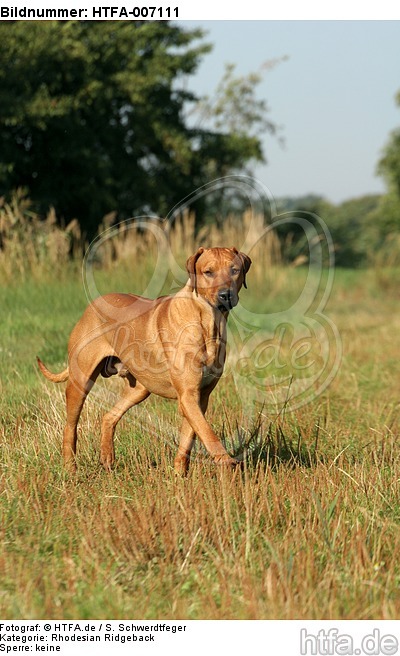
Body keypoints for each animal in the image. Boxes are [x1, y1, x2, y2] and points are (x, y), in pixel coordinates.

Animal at [36, 246, 250, 472]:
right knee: (70, 426)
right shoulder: (188, 395)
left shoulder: (201, 397)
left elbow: (189, 437)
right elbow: (207, 433)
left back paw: (107, 457)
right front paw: (226, 461)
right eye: (208, 272)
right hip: (80, 381)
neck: (209, 323)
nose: (225, 295)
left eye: (234, 270)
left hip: (139, 388)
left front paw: (179, 474)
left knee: (109, 416)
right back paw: (70, 467)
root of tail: (91, 306)